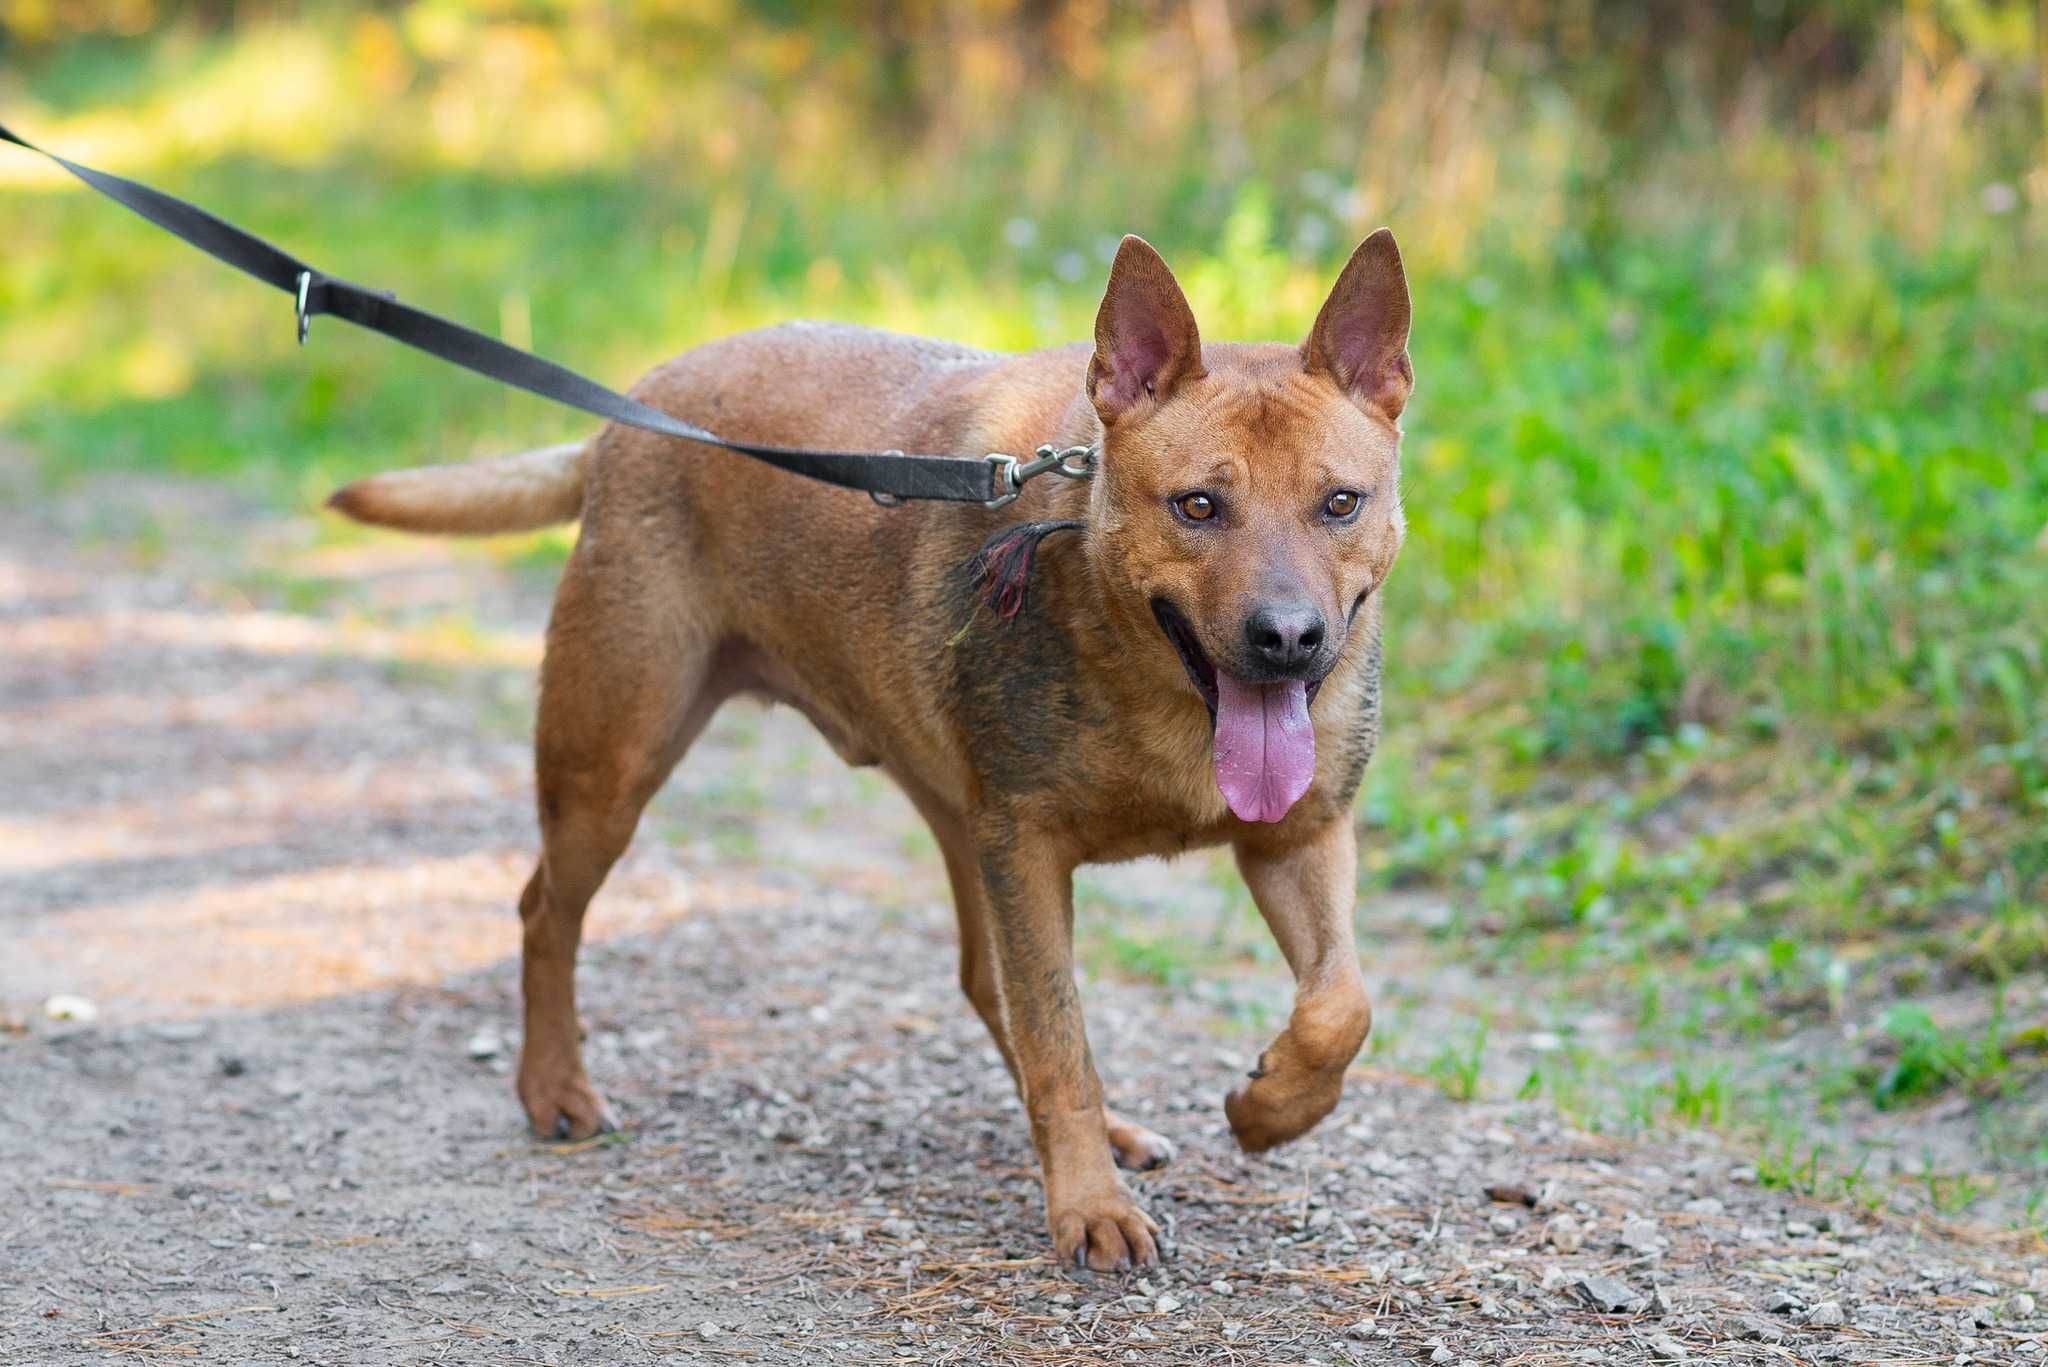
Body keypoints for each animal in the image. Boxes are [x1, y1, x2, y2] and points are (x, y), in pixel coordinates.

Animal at [327, 232, 1417, 1270]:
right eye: (1196, 506)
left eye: (1340, 503)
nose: (1287, 639)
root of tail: (638, 403)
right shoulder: (1026, 850)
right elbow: (1060, 1039)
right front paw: (1091, 1208)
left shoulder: (1296, 836)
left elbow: (1341, 1005)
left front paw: (1270, 1108)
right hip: (611, 764)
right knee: (544, 910)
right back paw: (555, 1087)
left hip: (950, 822)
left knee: (988, 984)